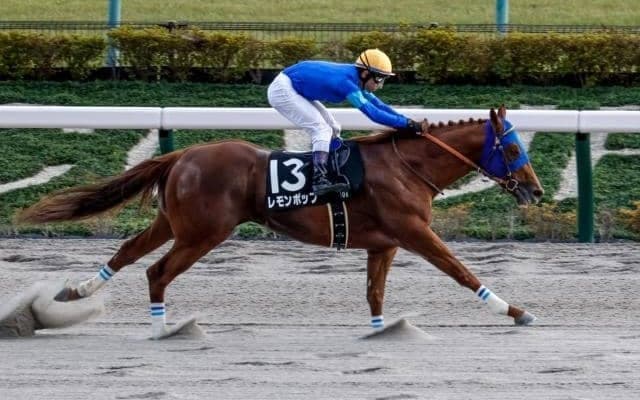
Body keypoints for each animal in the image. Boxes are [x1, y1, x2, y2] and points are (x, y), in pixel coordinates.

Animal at [18, 106, 544, 339]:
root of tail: (182, 154)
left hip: (175, 223)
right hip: (204, 232)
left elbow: (374, 292)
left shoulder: (385, 243)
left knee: (128, 253)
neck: (405, 167)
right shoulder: (414, 232)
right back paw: (164, 328)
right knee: (157, 271)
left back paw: (74, 293)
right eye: (513, 147)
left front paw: (381, 330)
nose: (536, 190)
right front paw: (516, 310)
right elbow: (460, 270)